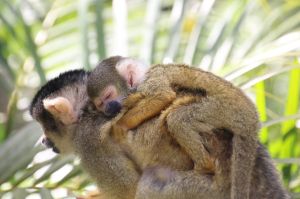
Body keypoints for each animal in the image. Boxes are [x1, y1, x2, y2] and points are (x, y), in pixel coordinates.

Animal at [88, 55, 262, 199]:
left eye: (108, 96)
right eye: (100, 104)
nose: (107, 109)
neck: (146, 72)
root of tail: (252, 117)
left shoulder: (151, 79)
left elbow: (162, 96)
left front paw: (120, 125)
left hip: (223, 110)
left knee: (178, 120)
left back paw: (204, 166)